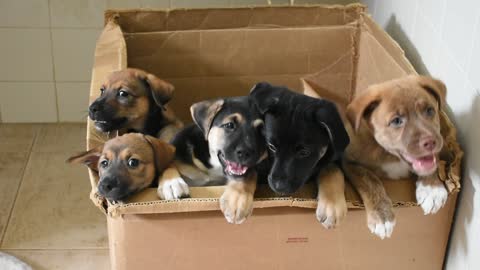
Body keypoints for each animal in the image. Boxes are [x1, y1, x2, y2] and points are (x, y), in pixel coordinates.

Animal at [159, 96, 268, 224]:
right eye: (230, 125)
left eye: (261, 131)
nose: (246, 153)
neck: (214, 166)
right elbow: (168, 163)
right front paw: (171, 183)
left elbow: (248, 174)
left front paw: (237, 201)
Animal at [251, 81, 348, 228]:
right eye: (271, 146)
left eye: (304, 152)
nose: (279, 187)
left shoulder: (335, 156)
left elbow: (332, 169)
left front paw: (332, 206)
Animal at [344, 75, 448, 239]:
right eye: (397, 121)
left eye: (430, 110)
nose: (431, 142)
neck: (390, 154)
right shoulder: (348, 160)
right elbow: (369, 179)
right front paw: (381, 215)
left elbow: (432, 161)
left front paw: (432, 189)